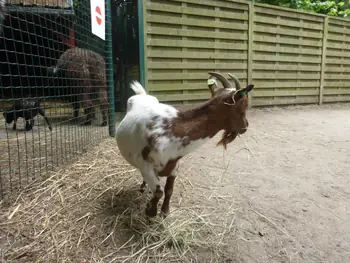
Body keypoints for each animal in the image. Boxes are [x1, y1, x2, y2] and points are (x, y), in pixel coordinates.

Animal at [115, 72, 254, 219]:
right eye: (244, 105)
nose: (246, 126)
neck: (171, 132)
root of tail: (141, 94)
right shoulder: (145, 164)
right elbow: (159, 191)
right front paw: (150, 211)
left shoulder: (175, 165)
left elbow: (169, 190)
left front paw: (165, 212)